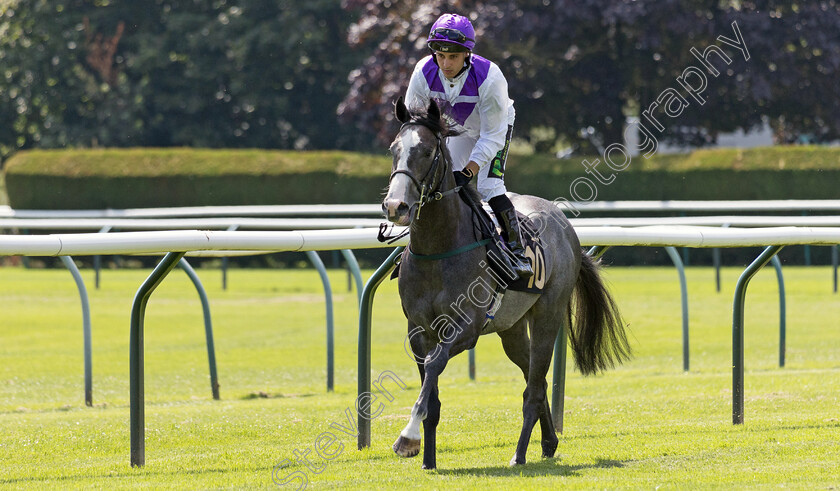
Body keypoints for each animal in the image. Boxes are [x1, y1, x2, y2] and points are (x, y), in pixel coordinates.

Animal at [380, 98, 632, 470]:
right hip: (511, 329)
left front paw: (407, 438)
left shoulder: (466, 329)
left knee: (534, 387)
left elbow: (436, 364)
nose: (396, 206)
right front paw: (427, 458)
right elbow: (430, 387)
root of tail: (565, 226)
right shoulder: (417, 330)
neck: (439, 249)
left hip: (548, 317)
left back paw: (520, 453)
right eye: (394, 149)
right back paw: (549, 441)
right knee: (533, 376)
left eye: (426, 151)